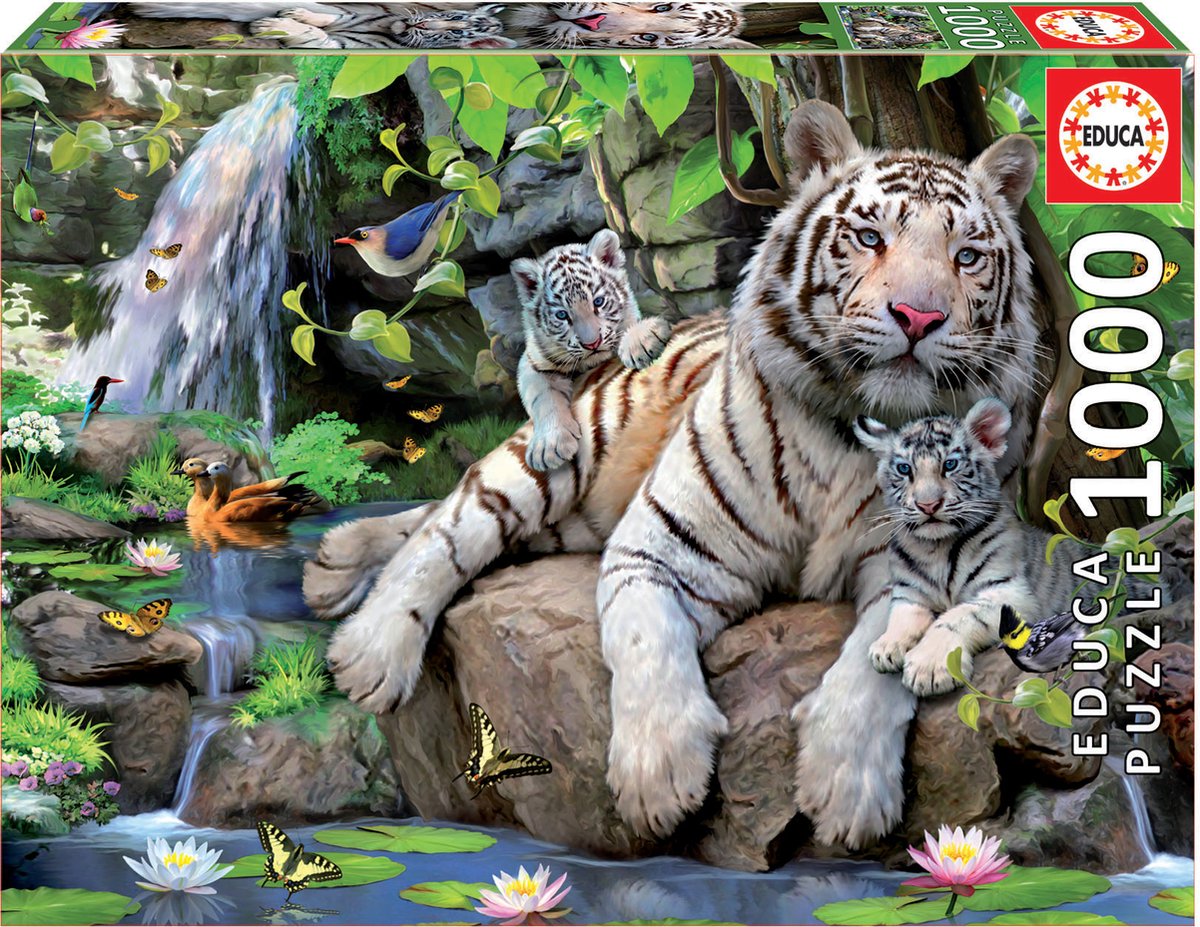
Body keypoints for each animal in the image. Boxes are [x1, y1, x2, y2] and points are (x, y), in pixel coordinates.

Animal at [513, 229, 672, 472]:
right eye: (562, 315)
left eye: (598, 302)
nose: (592, 344)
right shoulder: (532, 363)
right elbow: (543, 397)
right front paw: (550, 446)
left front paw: (642, 341)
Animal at [854, 398, 1086, 694]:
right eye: (904, 469)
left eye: (950, 465)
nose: (927, 505)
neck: (936, 549)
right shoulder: (910, 591)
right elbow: (902, 614)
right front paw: (886, 646)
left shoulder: (1009, 592)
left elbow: (958, 617)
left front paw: (928, 668)